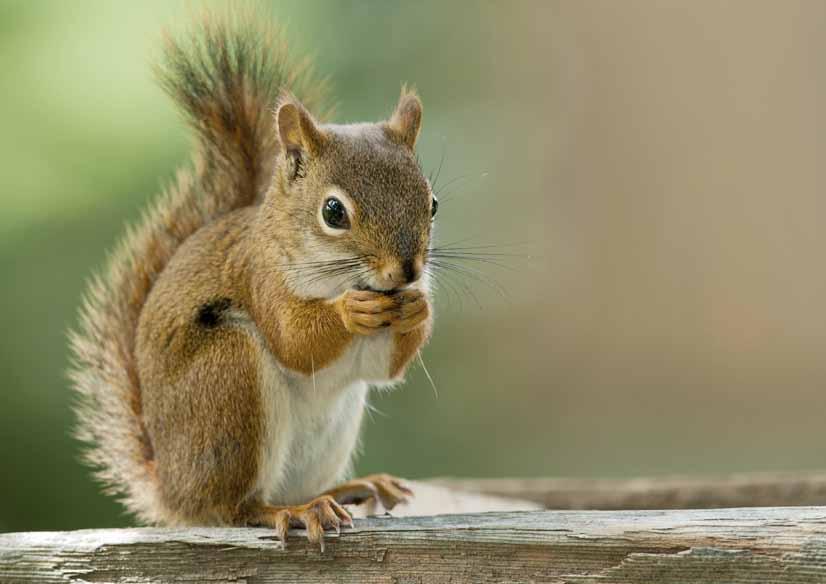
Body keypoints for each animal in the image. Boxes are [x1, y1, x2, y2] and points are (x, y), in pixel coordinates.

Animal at [67, 14, 434, 552]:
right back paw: (295, 512)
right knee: (235, 508)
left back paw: (348, 489)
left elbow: (385, 366)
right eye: (333, 212)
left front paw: (418, 308)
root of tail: (172, 491)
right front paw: (350, 312)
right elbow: (295, 340)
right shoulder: (261, 278)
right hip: (229, 380)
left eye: (432, 204)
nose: (407, 271)